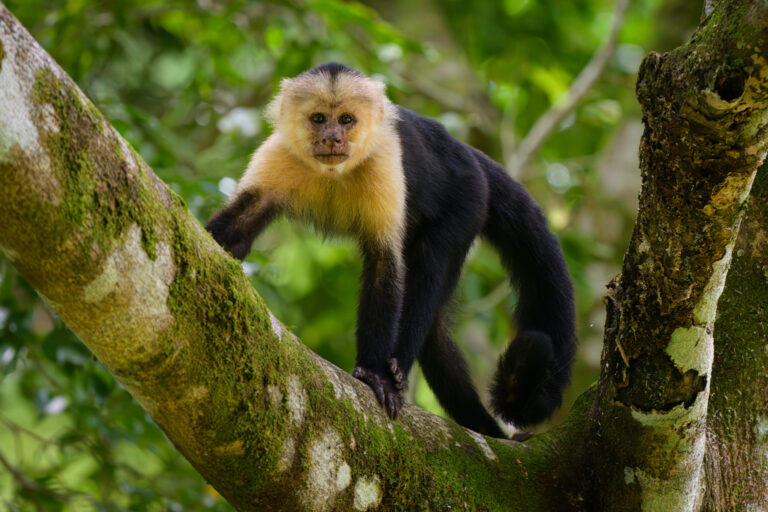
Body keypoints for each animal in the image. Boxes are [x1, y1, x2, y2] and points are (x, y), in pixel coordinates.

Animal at [206, 63, 576, 438]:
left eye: (347, 120)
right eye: (319, 118)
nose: (333, 138)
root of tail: (468, 152)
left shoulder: (385, 158)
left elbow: (385, 264)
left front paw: (374, 375)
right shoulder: (279, 152)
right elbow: (238, 229)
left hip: (468, 198)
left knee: (429, 269)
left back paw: (398, 368)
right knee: (436, 336)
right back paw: (486, 430)